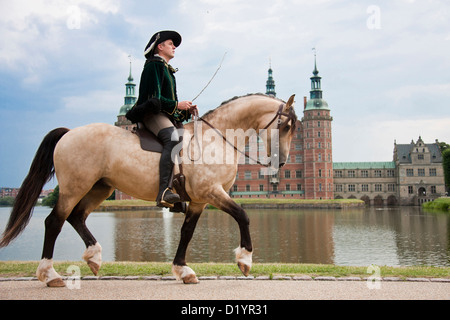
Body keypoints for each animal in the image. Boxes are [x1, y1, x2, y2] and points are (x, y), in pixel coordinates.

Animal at [1, 94, 298, 286]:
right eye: (285, 126)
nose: (281, 162)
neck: (217, 137)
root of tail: (69, 132)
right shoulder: (212, 192)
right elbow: (243, 215)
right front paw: (245, 260)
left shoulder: (199, 200)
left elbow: (187, 232)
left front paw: (183, 270)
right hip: (74, 187)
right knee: (54, 221)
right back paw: (50, 274)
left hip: (99, 188)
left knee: (76, 217)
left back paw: (94, 257)